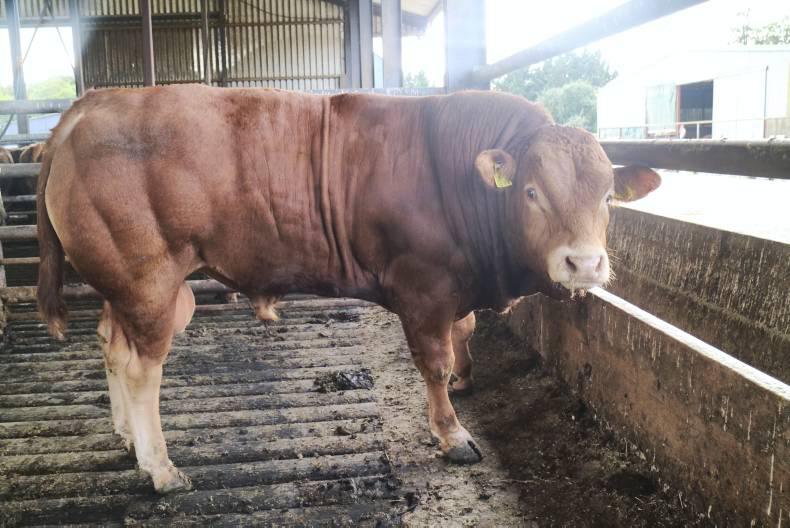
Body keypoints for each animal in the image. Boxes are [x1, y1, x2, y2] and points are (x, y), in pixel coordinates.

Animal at [37, 85, 660, 493]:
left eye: (608, 197)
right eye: (531, 192)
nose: (584, 263)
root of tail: (91, 105)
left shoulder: (456, 290)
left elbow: (464, 334)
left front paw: (466, 380)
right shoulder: (423, 287)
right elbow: (433, 366)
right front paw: (452, 435)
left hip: (122, 288)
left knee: (111, 348)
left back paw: (127, 439)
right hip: (148, 282)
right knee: (141, 369)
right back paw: (161, 469)